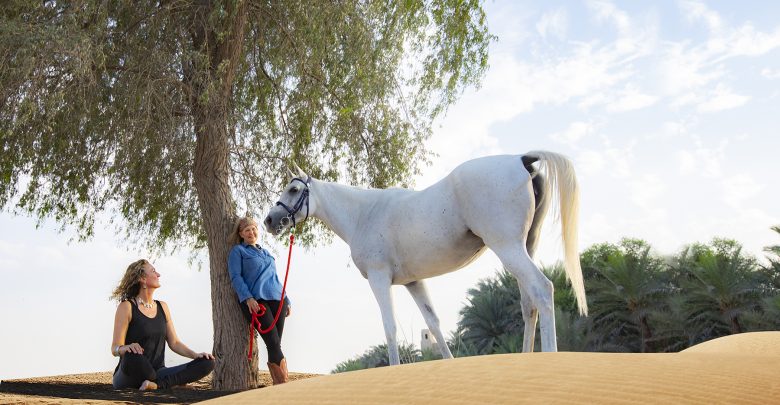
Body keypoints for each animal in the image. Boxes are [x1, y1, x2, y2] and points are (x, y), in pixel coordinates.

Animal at [262, 150, 584, 364]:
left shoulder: (379, 279)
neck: (364, 213)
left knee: (542, 289)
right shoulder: (414, 282)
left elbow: (389, 328)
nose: (269, 220)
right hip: (523, 247)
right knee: (528, 303)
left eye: (293, 189)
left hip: (508, 247)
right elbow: (434, 324)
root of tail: (522, 159)